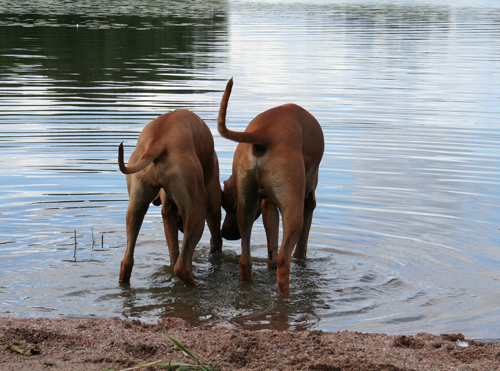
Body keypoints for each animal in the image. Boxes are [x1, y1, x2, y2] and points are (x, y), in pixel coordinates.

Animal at [118, 109, 222, 286]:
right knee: (182, 267)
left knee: (127, 261)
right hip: (197, 211)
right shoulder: (213, 204)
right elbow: (216, 238)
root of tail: (158, 140)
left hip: (135, 208)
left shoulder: (167, 211)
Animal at [219, 79, 324, 300]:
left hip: (246, 208)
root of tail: (264, 132)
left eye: (227, 207)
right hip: (294, 212)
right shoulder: (308, 202)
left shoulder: (267, 205)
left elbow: (271, 249)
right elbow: (301, 248)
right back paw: (287, 298)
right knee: (284, 260)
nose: (225, 234)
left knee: (245, 260)